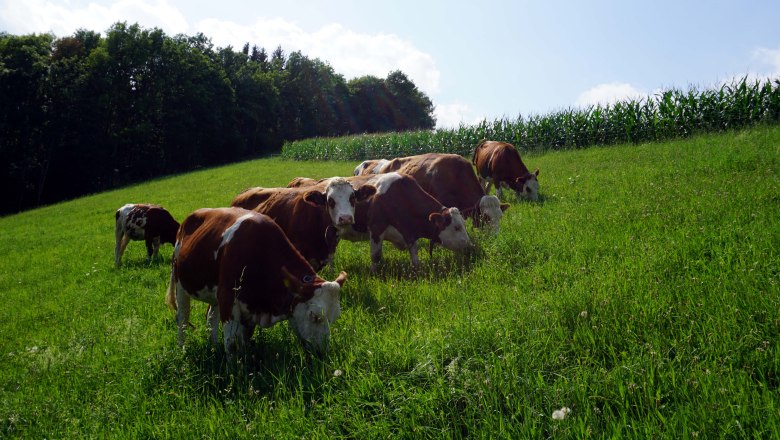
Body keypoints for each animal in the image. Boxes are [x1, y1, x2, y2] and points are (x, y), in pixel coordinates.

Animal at [165, 207, 347, 354]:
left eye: (335, 318)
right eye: (314, 316)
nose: (322, 352)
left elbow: (244, 340)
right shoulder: (228, 298)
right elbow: (232, 344)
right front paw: (235, 371)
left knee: (210, 317)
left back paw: (214, 347)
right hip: (181, 284)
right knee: (182, 318)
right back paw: (182, 349)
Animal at [289, 173, 472, 272]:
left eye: (464, 225)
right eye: (456, 227)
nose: (471, 247)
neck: (401, 196)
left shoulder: (409, 232)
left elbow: (414, 255)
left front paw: (418, 271)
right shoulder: (376, 229)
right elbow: (375, 256)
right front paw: (373, 274)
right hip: (331, 232)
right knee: (330, 253)